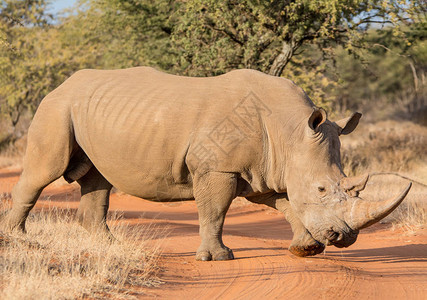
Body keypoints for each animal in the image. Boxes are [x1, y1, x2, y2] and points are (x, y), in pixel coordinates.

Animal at [2, 67, 412, 258]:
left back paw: (112, 246)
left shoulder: (265, 169)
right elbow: (214, 211)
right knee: (45, 171)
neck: (290, 130)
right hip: (55, 108)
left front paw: (306, 249)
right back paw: (19, 239)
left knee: (97, 178)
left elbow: (285, 204)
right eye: (322, 188)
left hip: (91, 112)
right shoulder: (220, 168)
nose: (343, 239)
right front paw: (218, 257)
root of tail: (60, 85)